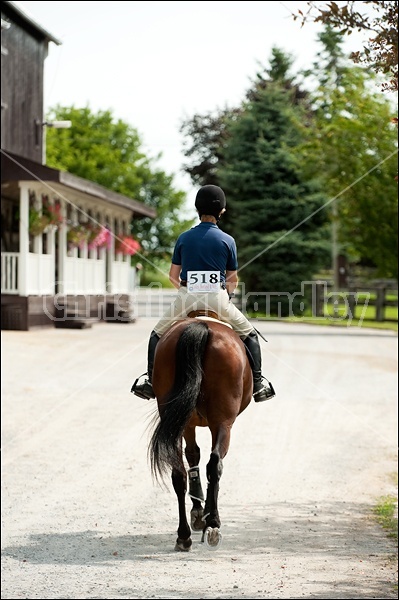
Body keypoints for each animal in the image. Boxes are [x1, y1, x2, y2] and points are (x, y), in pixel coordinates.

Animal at [148, 316, 255, 552]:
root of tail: (201, 326)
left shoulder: (187, 424)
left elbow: (192, 456)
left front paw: (198, 512)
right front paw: (203, 514)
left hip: (177, 417)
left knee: (179, 472)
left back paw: (183, 535)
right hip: (223, 422)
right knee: (215, 464)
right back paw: (212, 523)